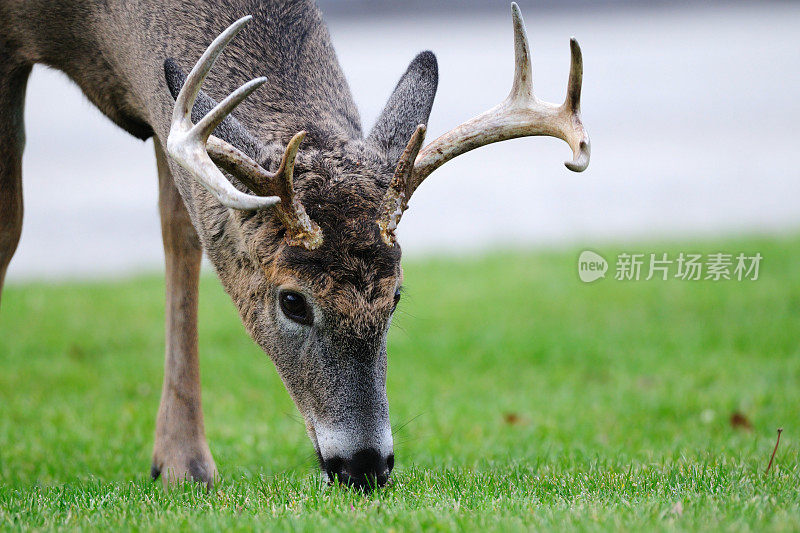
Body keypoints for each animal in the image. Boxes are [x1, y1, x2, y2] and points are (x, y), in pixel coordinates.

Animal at [0, 1, 588, 490]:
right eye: (291, 301)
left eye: (396, 296)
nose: (364, 466)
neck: (94, 32)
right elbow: (11, 222)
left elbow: (182, 232)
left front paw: (182, 464)